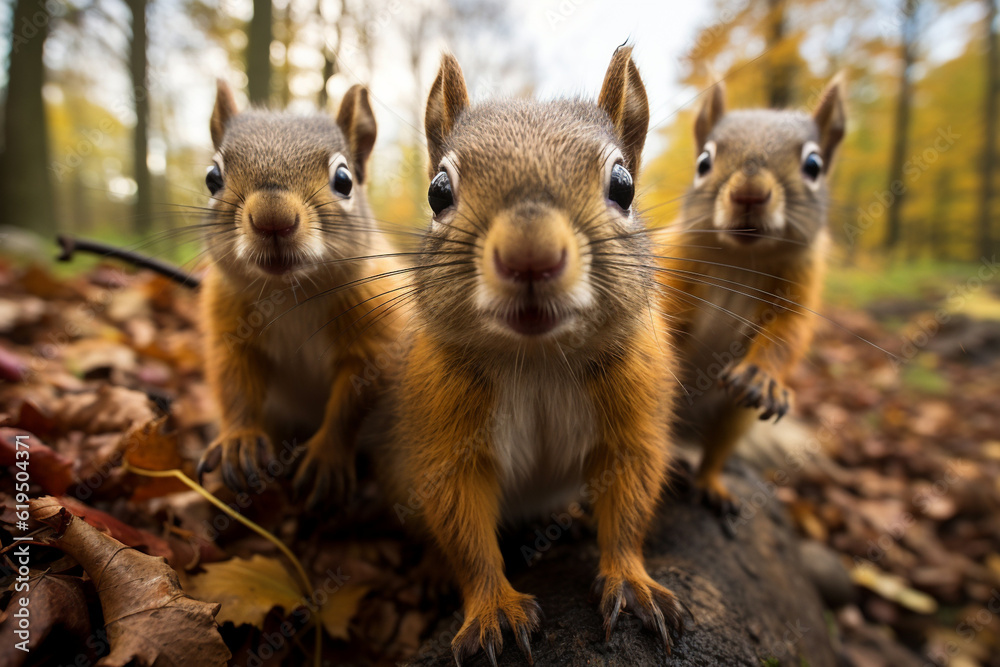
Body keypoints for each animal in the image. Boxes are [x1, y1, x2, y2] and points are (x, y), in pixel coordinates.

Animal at [195, 79, 406, 510]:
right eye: (212, 177)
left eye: (344, 180)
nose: (273, 220)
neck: (290, 294)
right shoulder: (229, 327)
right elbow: (233, 382)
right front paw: (239, 440)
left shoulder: (374, 334)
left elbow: (353, 399)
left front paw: (327, 455)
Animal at [364, 48, 685, 664]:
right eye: (438, 190)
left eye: (624, 185)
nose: (530, 256)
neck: (536, 361)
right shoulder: (444, 441)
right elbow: (464, 530)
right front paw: (494, 609)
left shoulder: (632, 421)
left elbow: (630, 503)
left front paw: (633, 582)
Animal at [658, 76, 846, 512]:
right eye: (703, 162)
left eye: (814, 165)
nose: (749, 194)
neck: (743, 259)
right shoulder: (672, 264)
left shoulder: (801, 285)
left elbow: (788, 334)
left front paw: (763, 377)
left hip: (733, 416)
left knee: (716, 450)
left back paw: (711, 484)